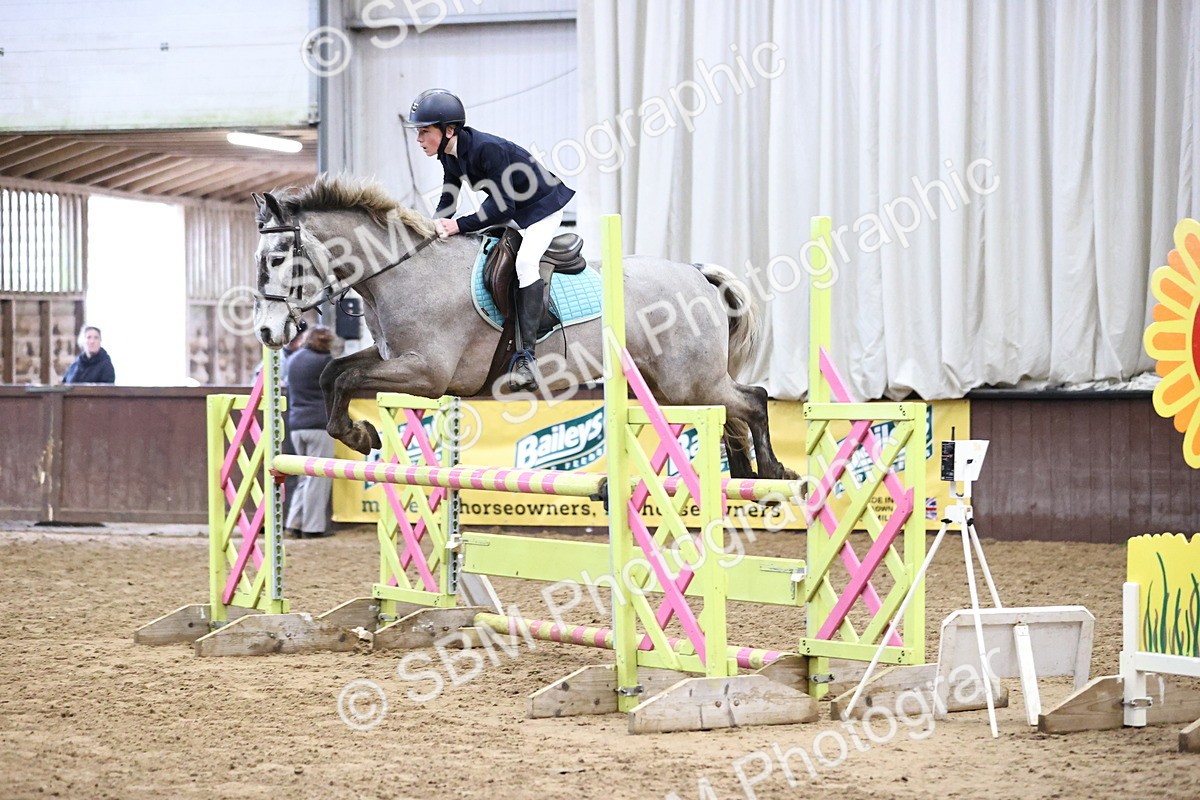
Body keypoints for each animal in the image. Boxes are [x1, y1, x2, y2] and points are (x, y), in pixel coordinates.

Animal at [252, 175, 796, 481]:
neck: (403, 271)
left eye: (276, 258)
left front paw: (360, 434)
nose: (267, 334)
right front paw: (360, 434)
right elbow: (333, 374)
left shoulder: (426, 374)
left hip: (689, 382)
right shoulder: (393, 359)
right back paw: (745, 474)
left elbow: (344, 377)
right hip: (669, 385)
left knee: (752, 399)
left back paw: (772, 471)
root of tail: (697, 274)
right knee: (732, 411)